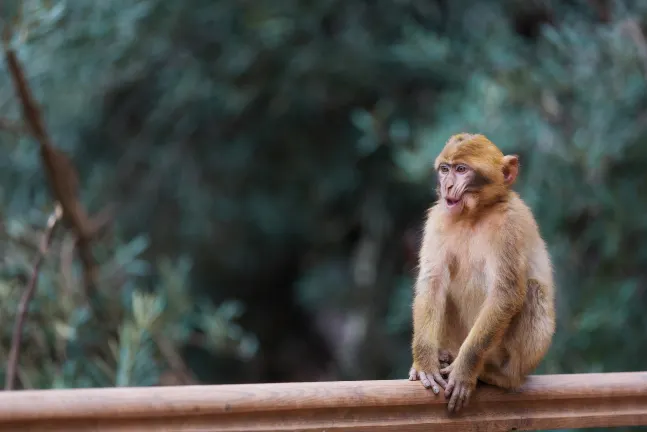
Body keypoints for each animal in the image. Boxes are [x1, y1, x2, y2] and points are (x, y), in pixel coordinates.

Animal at [410, 133, 556, 414]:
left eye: (461, 169)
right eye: (445, 169)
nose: (447, 186)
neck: (474, 213)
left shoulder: (510, 225)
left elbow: (505, 293)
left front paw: (463, 372)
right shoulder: (438, 218)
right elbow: (432, 283)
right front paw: (425, 363)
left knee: (532, 289)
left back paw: (499, 376)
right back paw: (443, 355)